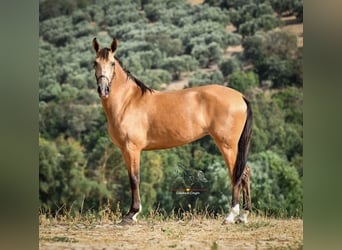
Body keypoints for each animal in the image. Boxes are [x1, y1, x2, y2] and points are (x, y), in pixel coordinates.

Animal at [92, 38, 252, 226]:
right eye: (95, 63)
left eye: (112, 63)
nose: (103, 89)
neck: (128, 102)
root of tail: (240, 96)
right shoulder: (125, 150)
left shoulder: (132, 149)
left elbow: (134, 179)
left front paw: (131, 214)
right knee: (245, 172)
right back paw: (244, 215)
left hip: (227, 145)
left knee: (236, 173)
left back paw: (231, 215)